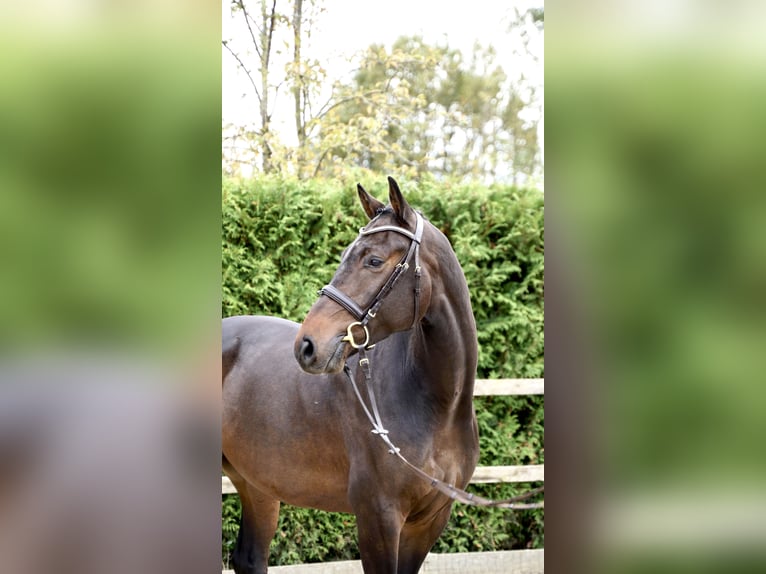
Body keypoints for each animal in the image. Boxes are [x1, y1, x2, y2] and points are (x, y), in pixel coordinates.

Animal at [222, 176, 479, 574]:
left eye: (373, 260)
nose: (307, 345)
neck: (439, 408)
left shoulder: (429, 520)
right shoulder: (378, 518)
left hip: (256, 485)